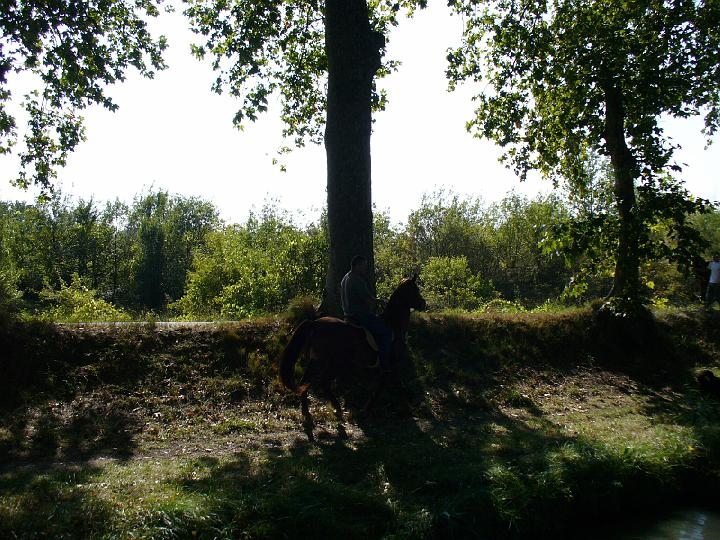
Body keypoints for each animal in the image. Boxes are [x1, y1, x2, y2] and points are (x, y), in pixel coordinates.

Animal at [278, 275, 426, 434]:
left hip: (318, 361)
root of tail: (314, 323)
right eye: (415, 290)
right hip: (332, 362)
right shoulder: (390, 366)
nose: (423, 303)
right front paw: (368, 410)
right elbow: (386, 387)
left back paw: (309, 412)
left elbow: (388, 386)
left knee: (306, 382)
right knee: (322, 382)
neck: (393, 325)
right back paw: (334, 410)